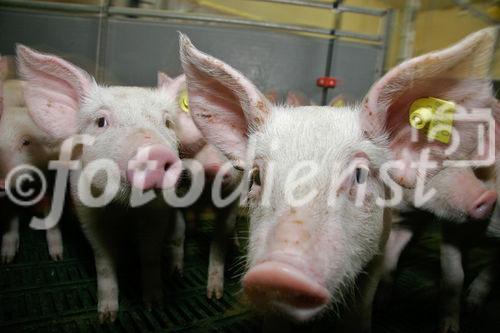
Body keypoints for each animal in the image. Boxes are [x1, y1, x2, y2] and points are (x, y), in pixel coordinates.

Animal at [17, 45, 186, 320]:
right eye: (100, 122)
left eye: (168, 122)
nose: (156, 152)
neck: (126, 209)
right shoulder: (85, 207)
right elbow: (103, 260)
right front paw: (107, 317)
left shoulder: (159, 211)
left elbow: (150, 254)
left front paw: (154, 305)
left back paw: (177, 270)